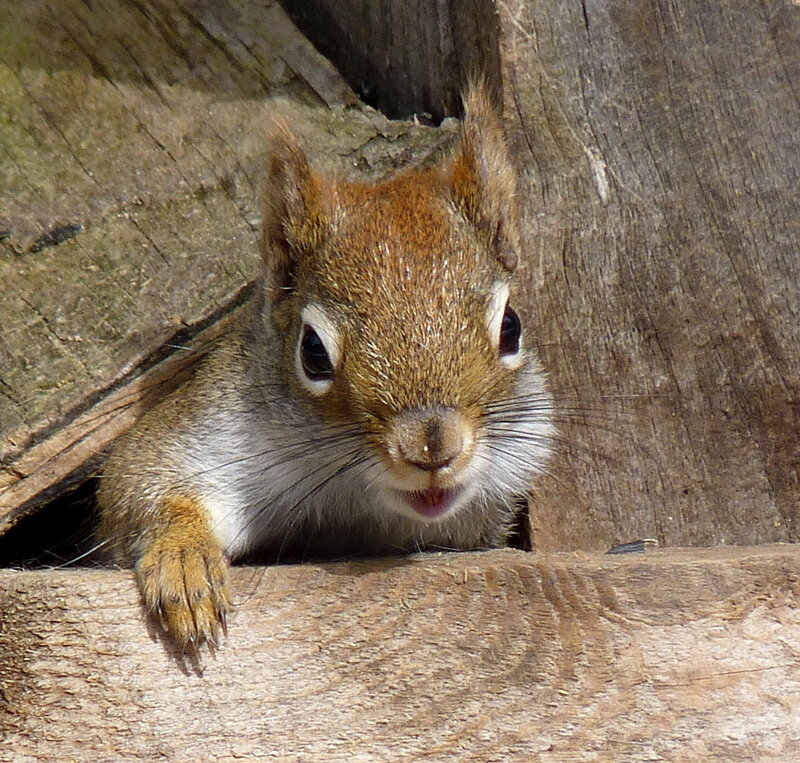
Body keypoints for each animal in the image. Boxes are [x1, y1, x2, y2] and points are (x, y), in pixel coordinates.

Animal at [96, 83, 554, 650]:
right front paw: (184, 562)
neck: (362, 508)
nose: (432, 447)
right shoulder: (210, 422)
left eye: (511, 327)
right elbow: (141, 477)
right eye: (312, 351)